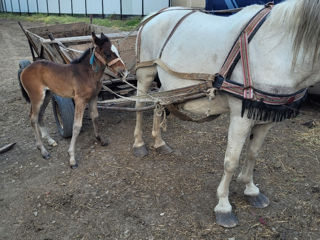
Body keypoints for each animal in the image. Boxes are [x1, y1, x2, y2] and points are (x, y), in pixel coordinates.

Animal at [19, 32, 127, 169]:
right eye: (107, 53)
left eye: (116, 51)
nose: (123, 71)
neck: (87, 74)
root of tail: (25, 69)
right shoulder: (80, 100)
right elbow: (76, 126)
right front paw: (72, 158)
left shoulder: (93, 98)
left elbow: (95, 117)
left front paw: (100, 139)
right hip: (37, 97)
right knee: (33, 118)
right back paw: (43, 151)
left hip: (47, 95)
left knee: (40, 115)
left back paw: (50, 141)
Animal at [132, 0, 320, 228]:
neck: (279, 47)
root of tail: (155, 14)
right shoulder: (241, 116)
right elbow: (231, 161)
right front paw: (223, 205)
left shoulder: (266, 117)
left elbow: (253, 153)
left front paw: (251, 189)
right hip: (146, 73)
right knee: (140, 106)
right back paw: (139, 144)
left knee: (159, 105)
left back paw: (159, 142)